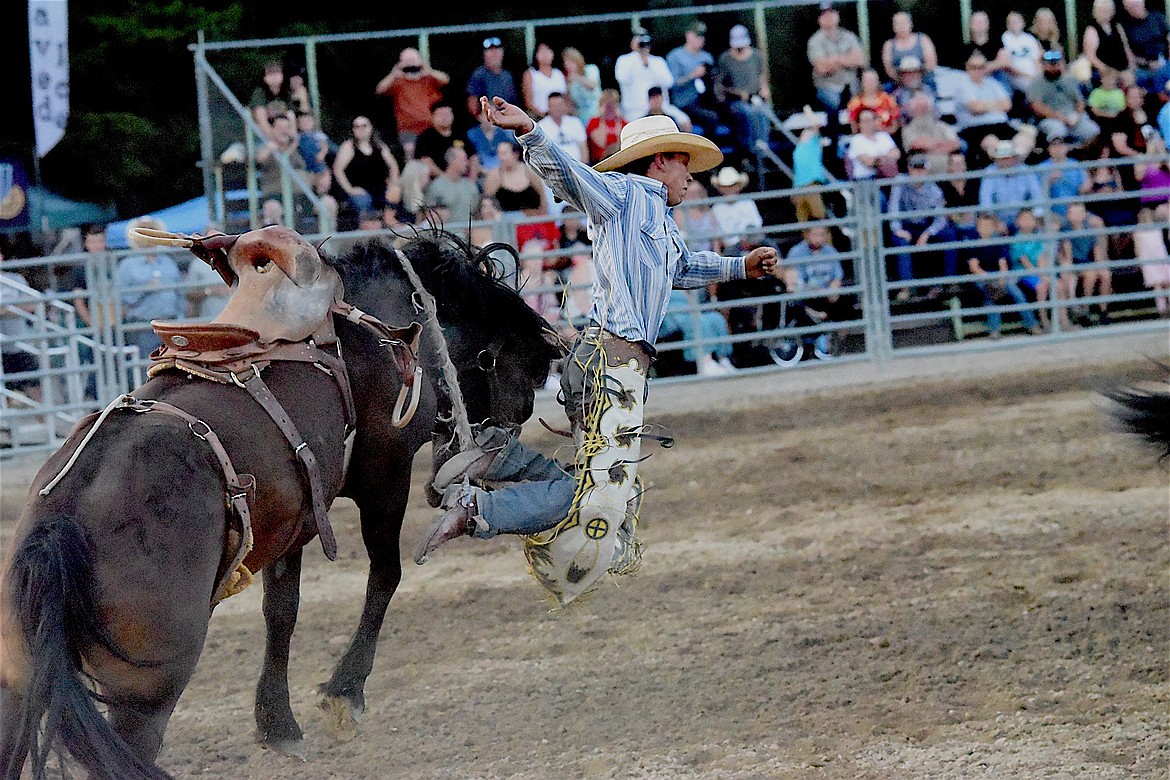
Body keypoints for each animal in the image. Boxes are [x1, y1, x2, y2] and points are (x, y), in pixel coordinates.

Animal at [0, 222, 566, 776]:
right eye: (521, 368)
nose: (520, 414)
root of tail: (58, 526)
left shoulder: (295, 514)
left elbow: (282, 609)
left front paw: (277, 724)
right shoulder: (385, 472)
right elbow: (386, 574)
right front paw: (344, 693)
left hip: (22, 683)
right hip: (144, 695)